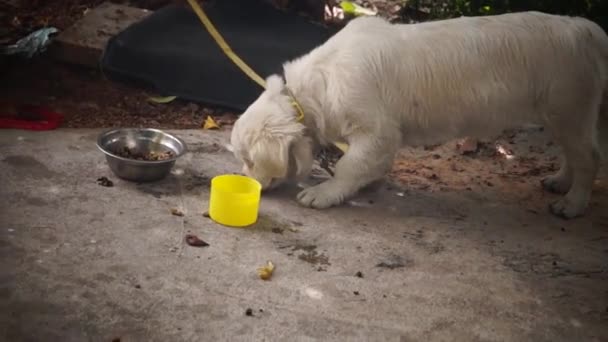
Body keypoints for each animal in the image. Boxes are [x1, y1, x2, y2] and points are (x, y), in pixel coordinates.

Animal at [229, 12, 608, 219]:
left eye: (249, 159)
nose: (246, 180)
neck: (311, 91)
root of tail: (586, 29)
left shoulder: (378, 130)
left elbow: (351, 163)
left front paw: (324, 193)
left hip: (568, 108)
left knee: (589, 156)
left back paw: (572, 204)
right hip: (563, 113)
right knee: (574, 154)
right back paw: (559, 182)